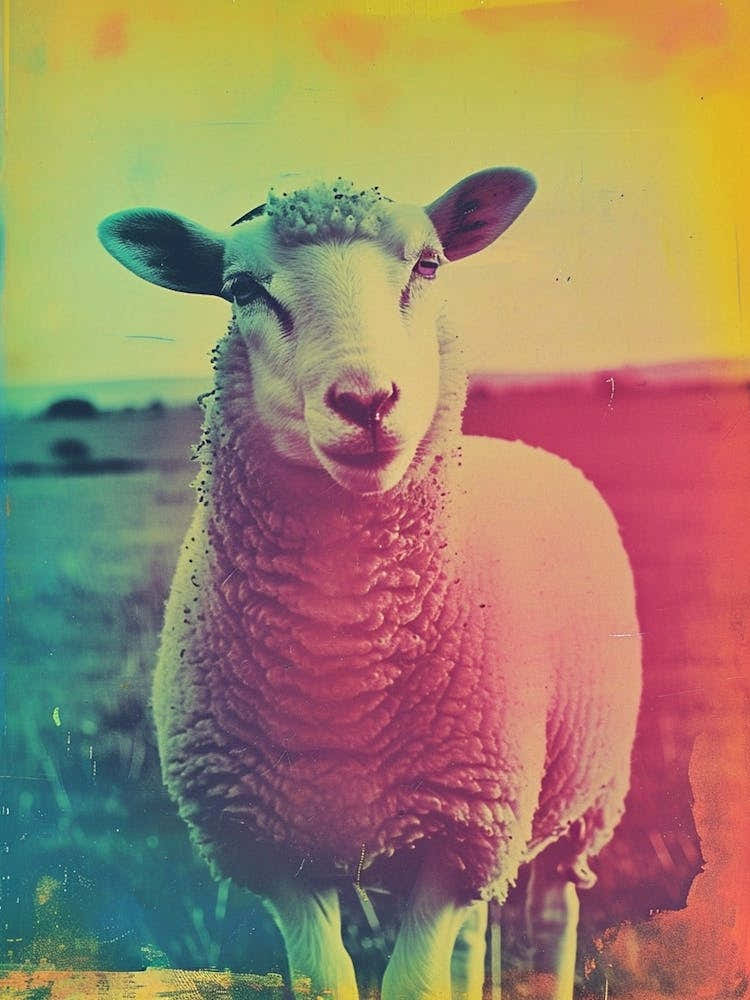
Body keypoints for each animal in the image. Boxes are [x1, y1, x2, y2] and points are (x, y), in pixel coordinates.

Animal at [98, 169, 641, 1000]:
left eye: (428, 265)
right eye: (242, 289)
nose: (367, 403)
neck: (347, 658)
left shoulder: (460, 838)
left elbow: (413, 985)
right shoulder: (271, 851)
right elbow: (330, 980)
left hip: (580, 798)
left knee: (551, 914)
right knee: (471, 940)